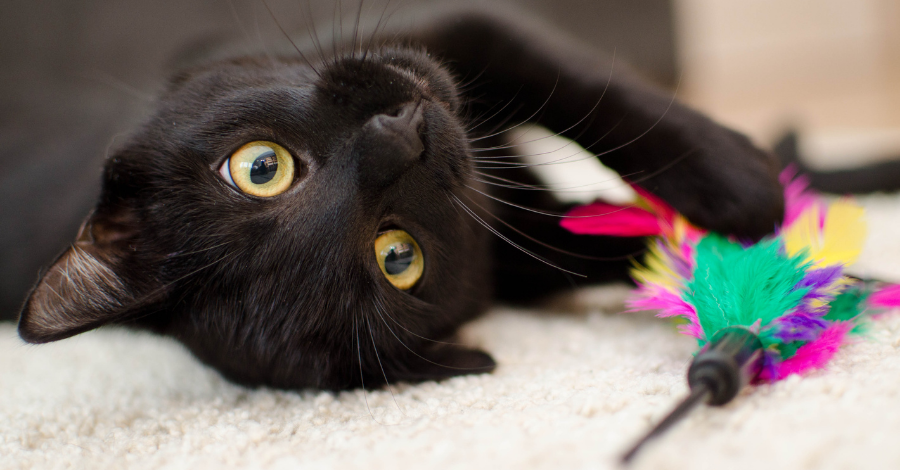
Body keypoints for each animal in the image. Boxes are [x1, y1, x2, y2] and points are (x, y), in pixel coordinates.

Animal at [10, 8, 784, 390]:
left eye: (261, 167)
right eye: (396, 257)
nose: (401, 139)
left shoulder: (460, 26)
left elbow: (585, 86)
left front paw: (744, 185)